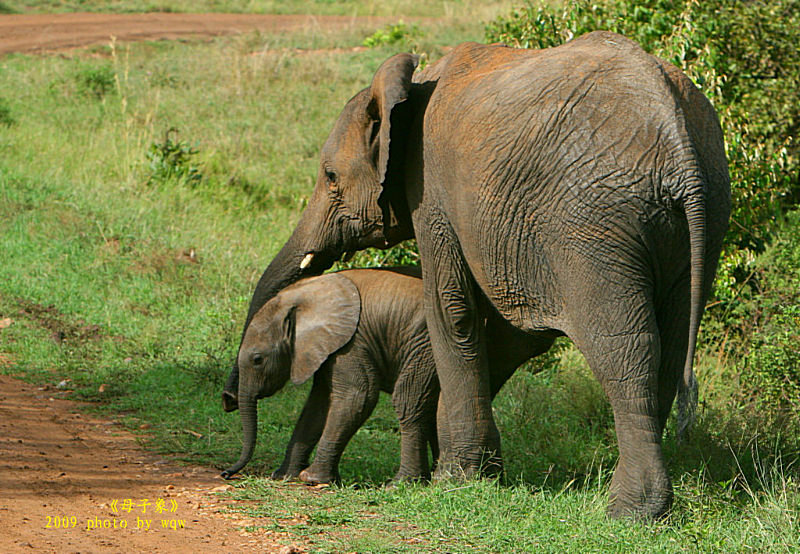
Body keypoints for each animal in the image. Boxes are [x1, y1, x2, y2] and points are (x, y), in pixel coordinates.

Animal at [222, 268, 552, 484]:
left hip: (425, 344)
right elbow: (318, 405)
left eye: (257, 359)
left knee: (409, 402)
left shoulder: (353, 341)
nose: (226, 473)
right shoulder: (327, 347)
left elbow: (356, 397)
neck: (302, 295)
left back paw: (403, 483)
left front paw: (313, 479)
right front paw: (284, 476)